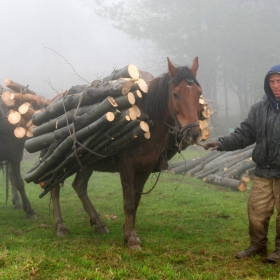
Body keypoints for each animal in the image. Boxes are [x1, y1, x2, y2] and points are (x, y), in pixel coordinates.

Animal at [48, 57, 201, 249]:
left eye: (198, 93)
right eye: (175, 94)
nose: (193, 134)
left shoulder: (144, 169)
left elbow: (135, 202)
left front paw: (129, 233)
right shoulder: (127, 167)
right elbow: (128, 203)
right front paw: (132, 240)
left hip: (86, 163)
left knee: (79, 186)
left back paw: (99, 224)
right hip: (57, 162)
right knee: (54, 188)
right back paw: (60, 227)